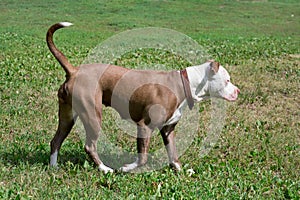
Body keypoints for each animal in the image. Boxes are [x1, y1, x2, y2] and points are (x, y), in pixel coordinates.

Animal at [46, 21, 239, 172]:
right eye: (227, 80)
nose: (238, 91)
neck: (186, 83)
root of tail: (74, 71)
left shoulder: (168, 129)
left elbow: (173, 154)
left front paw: (180, 170)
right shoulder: (145, 126)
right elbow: (143, 157)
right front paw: (126, 168)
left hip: (68, 115)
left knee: (56, 141)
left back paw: (54, 167)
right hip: (93, 115)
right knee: (89, 145)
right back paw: (104, 168)